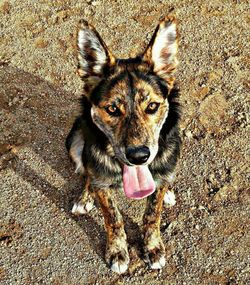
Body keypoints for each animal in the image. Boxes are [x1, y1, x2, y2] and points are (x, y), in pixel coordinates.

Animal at [65, 15, 181, 272]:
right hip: (74, 141)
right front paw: (117, 252)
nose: (139, 156)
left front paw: (153, 248)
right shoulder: (101, 183)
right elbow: (113, 217)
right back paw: (84, 198)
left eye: (152, 106)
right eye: (112, 109)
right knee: (87, 172)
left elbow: (152, 215)